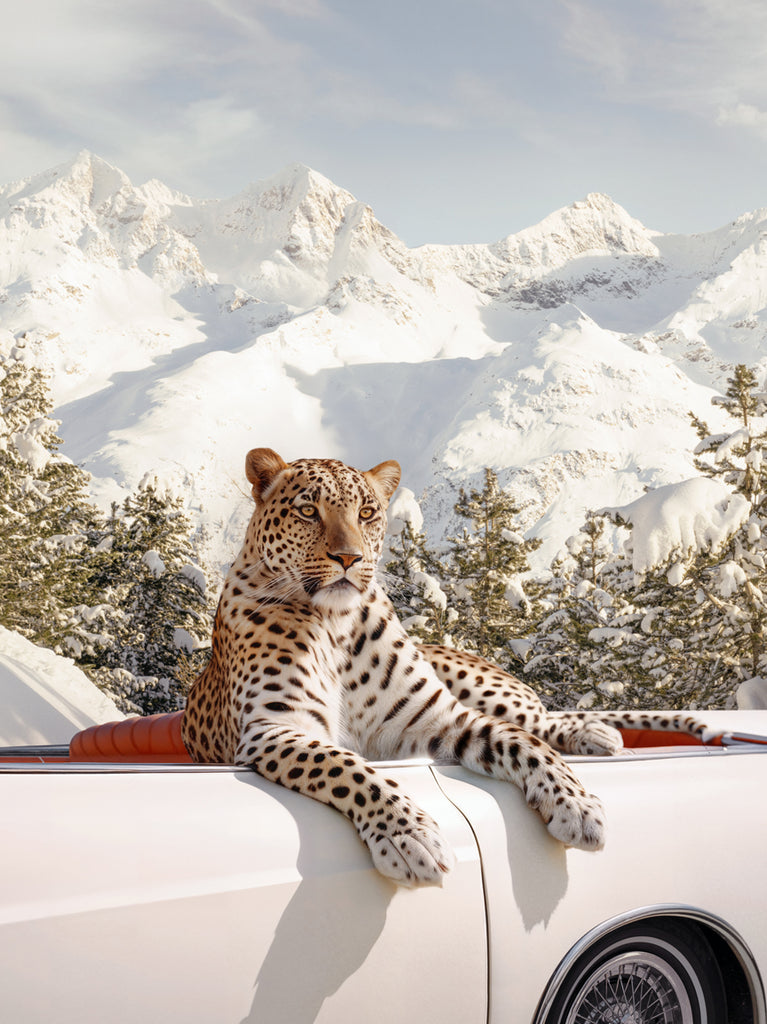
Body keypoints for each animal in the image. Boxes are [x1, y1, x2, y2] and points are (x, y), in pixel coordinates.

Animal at [182, 449, 710, 886]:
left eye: (367, 513)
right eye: (308, 510)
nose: (349, 558)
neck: (335, 624)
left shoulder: (439, 718)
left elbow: (525, 744)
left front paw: (577, 804)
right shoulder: (276, 727)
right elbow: (348, 768)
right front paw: (408, 837)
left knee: (538, 720)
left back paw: (596, 734)